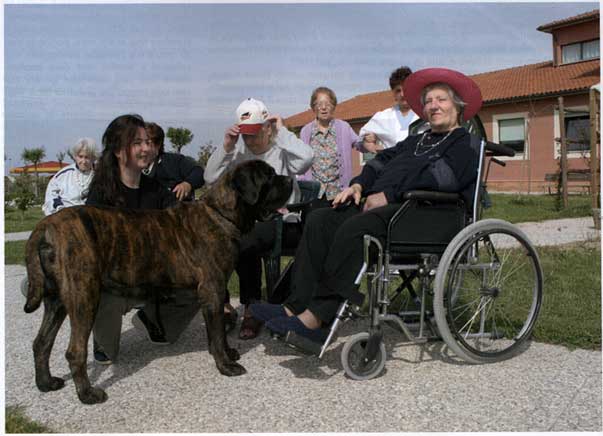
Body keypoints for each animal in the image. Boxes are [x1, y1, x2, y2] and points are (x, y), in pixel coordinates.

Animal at [24, 160, 292, 404]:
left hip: (56, 300)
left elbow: (217, 332)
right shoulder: (213, 290)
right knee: (74, 351)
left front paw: (227, 354)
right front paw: (225, 365)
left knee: (41, 343)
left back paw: (45, 383)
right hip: (84, 297)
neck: (220, 214)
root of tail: (45, 226)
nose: (290, 179)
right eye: (269, 176)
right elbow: (217, 333)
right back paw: (87, 394)